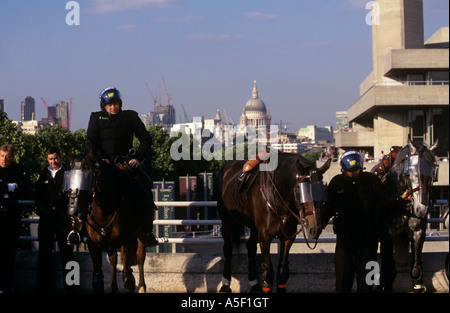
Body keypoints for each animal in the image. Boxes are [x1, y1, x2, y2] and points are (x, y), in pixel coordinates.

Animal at [64, 152, 149, 292]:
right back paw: (113, 287)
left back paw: (142, 286)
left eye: (88, 173)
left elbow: (128, 278)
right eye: (69, 176)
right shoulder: (94, 245)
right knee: (113, 261)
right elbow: (98, 279)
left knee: (140, 258)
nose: (73, 212)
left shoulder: (125, 242)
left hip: (140, 234)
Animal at [218, 152, 330, 292]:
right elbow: (268, 272)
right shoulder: (265, 235)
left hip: (254, 227)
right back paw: (225, 284)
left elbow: (282, 271)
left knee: (251, 247)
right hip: (226, 219)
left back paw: (254, 283)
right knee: (227, 248)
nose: (315, 228)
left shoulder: (288, 236)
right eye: (302, 192)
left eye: (323, 191)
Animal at [372, 140, 440, 292]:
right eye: (409, 173)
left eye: (432, 175)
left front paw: (418, 284)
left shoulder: (418, 231)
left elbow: (416, 270)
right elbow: (389, 270)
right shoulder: (388, 234)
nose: (421, 209)